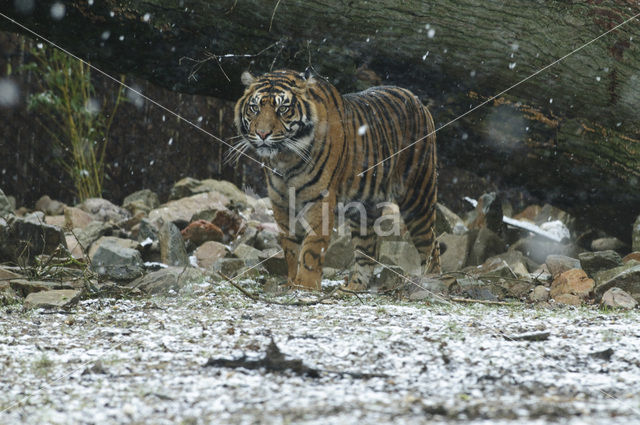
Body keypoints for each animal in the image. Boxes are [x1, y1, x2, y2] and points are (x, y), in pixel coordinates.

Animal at [234, 68, 440, 290]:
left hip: (417, 196)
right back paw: (354, 288)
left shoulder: (319, 199)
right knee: (367, 251)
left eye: (283, 109)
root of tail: (417, 99)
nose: (262, 134)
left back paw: (432, 282)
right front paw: (291, 281)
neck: (286, 158)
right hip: (364, 209)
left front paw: (305, 285)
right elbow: (290, 247)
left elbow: (311, 247)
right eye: (254, 108)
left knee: (431, 243)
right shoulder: (281, 202)